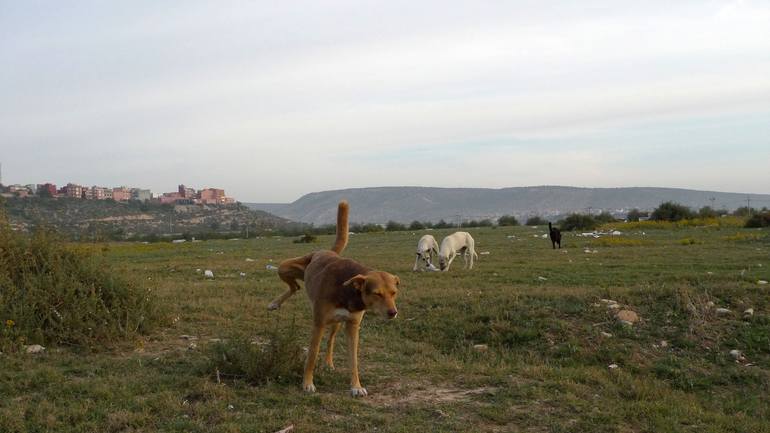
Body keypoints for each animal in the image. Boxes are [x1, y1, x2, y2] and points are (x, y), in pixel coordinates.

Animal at [268, 201, 400, 396]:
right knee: (294, 286)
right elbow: (312, 355)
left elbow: (353, 360)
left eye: (393, 293)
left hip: (336, 322)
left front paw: (356, 386)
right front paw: (307, 383)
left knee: (330, 339)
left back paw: (329, 363)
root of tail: (326, 251)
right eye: (377, 293)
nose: (393, 313)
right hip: (284, 267)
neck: (349, 292)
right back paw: (274, 303)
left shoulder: (352, 326)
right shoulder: (319, 323)